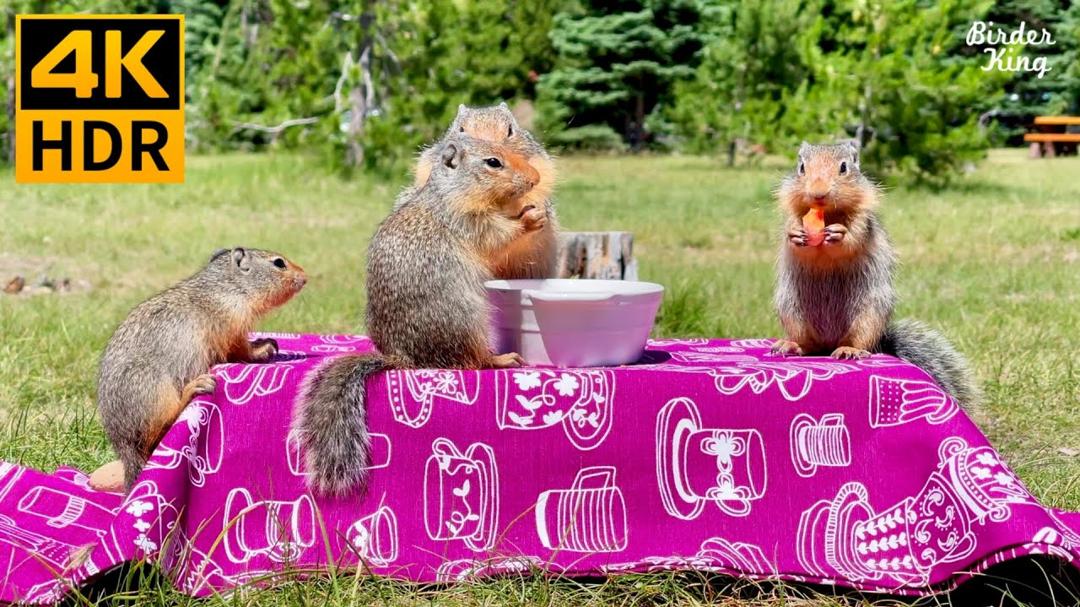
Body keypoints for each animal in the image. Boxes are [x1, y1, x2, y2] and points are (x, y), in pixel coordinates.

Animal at [91, 248, 307, 491]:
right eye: (279, 263)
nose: (305, 276)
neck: (228, 286)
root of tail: (124, 446)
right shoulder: (231, 324)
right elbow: (240, 349)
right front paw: (263, 347)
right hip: (154, 387)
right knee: (159, 430)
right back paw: (194, 388)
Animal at [294, 134, 538, 495]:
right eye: (493, 162)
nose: (535, 179)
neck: (451, 191)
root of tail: (402, 358)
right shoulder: (469, 221)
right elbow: (498, 235)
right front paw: (529, 218)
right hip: (466, 317)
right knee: (470, 361)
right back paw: (501, 359)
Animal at [772, 141, 981, 416]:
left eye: (844, 167)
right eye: (801, 167)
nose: (818, 193)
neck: (828, 215)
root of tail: (829, 343)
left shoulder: (864, 223)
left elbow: (853, 238)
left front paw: (839, 233)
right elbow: (793, 233)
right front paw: (796, 233)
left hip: (869, 314)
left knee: (859, 341)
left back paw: (850, 349)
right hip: (792, 311)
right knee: (808, 344)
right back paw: (792, 346)